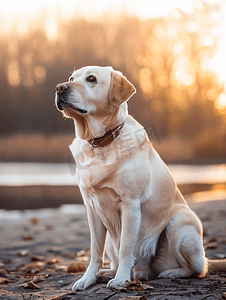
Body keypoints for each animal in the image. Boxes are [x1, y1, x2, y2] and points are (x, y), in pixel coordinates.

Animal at [55, 65, 226, 290]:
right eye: (71, 78)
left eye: (91, 79)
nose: (59, 87)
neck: (101, 143)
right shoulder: (92, 209)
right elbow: (95, 252)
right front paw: (87, 279)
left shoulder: (130, 205)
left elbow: (127, 247)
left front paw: (121, 279)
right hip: (112, 237)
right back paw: (111, 273)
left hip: (180, 222)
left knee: (198, 269)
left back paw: (168, 273)